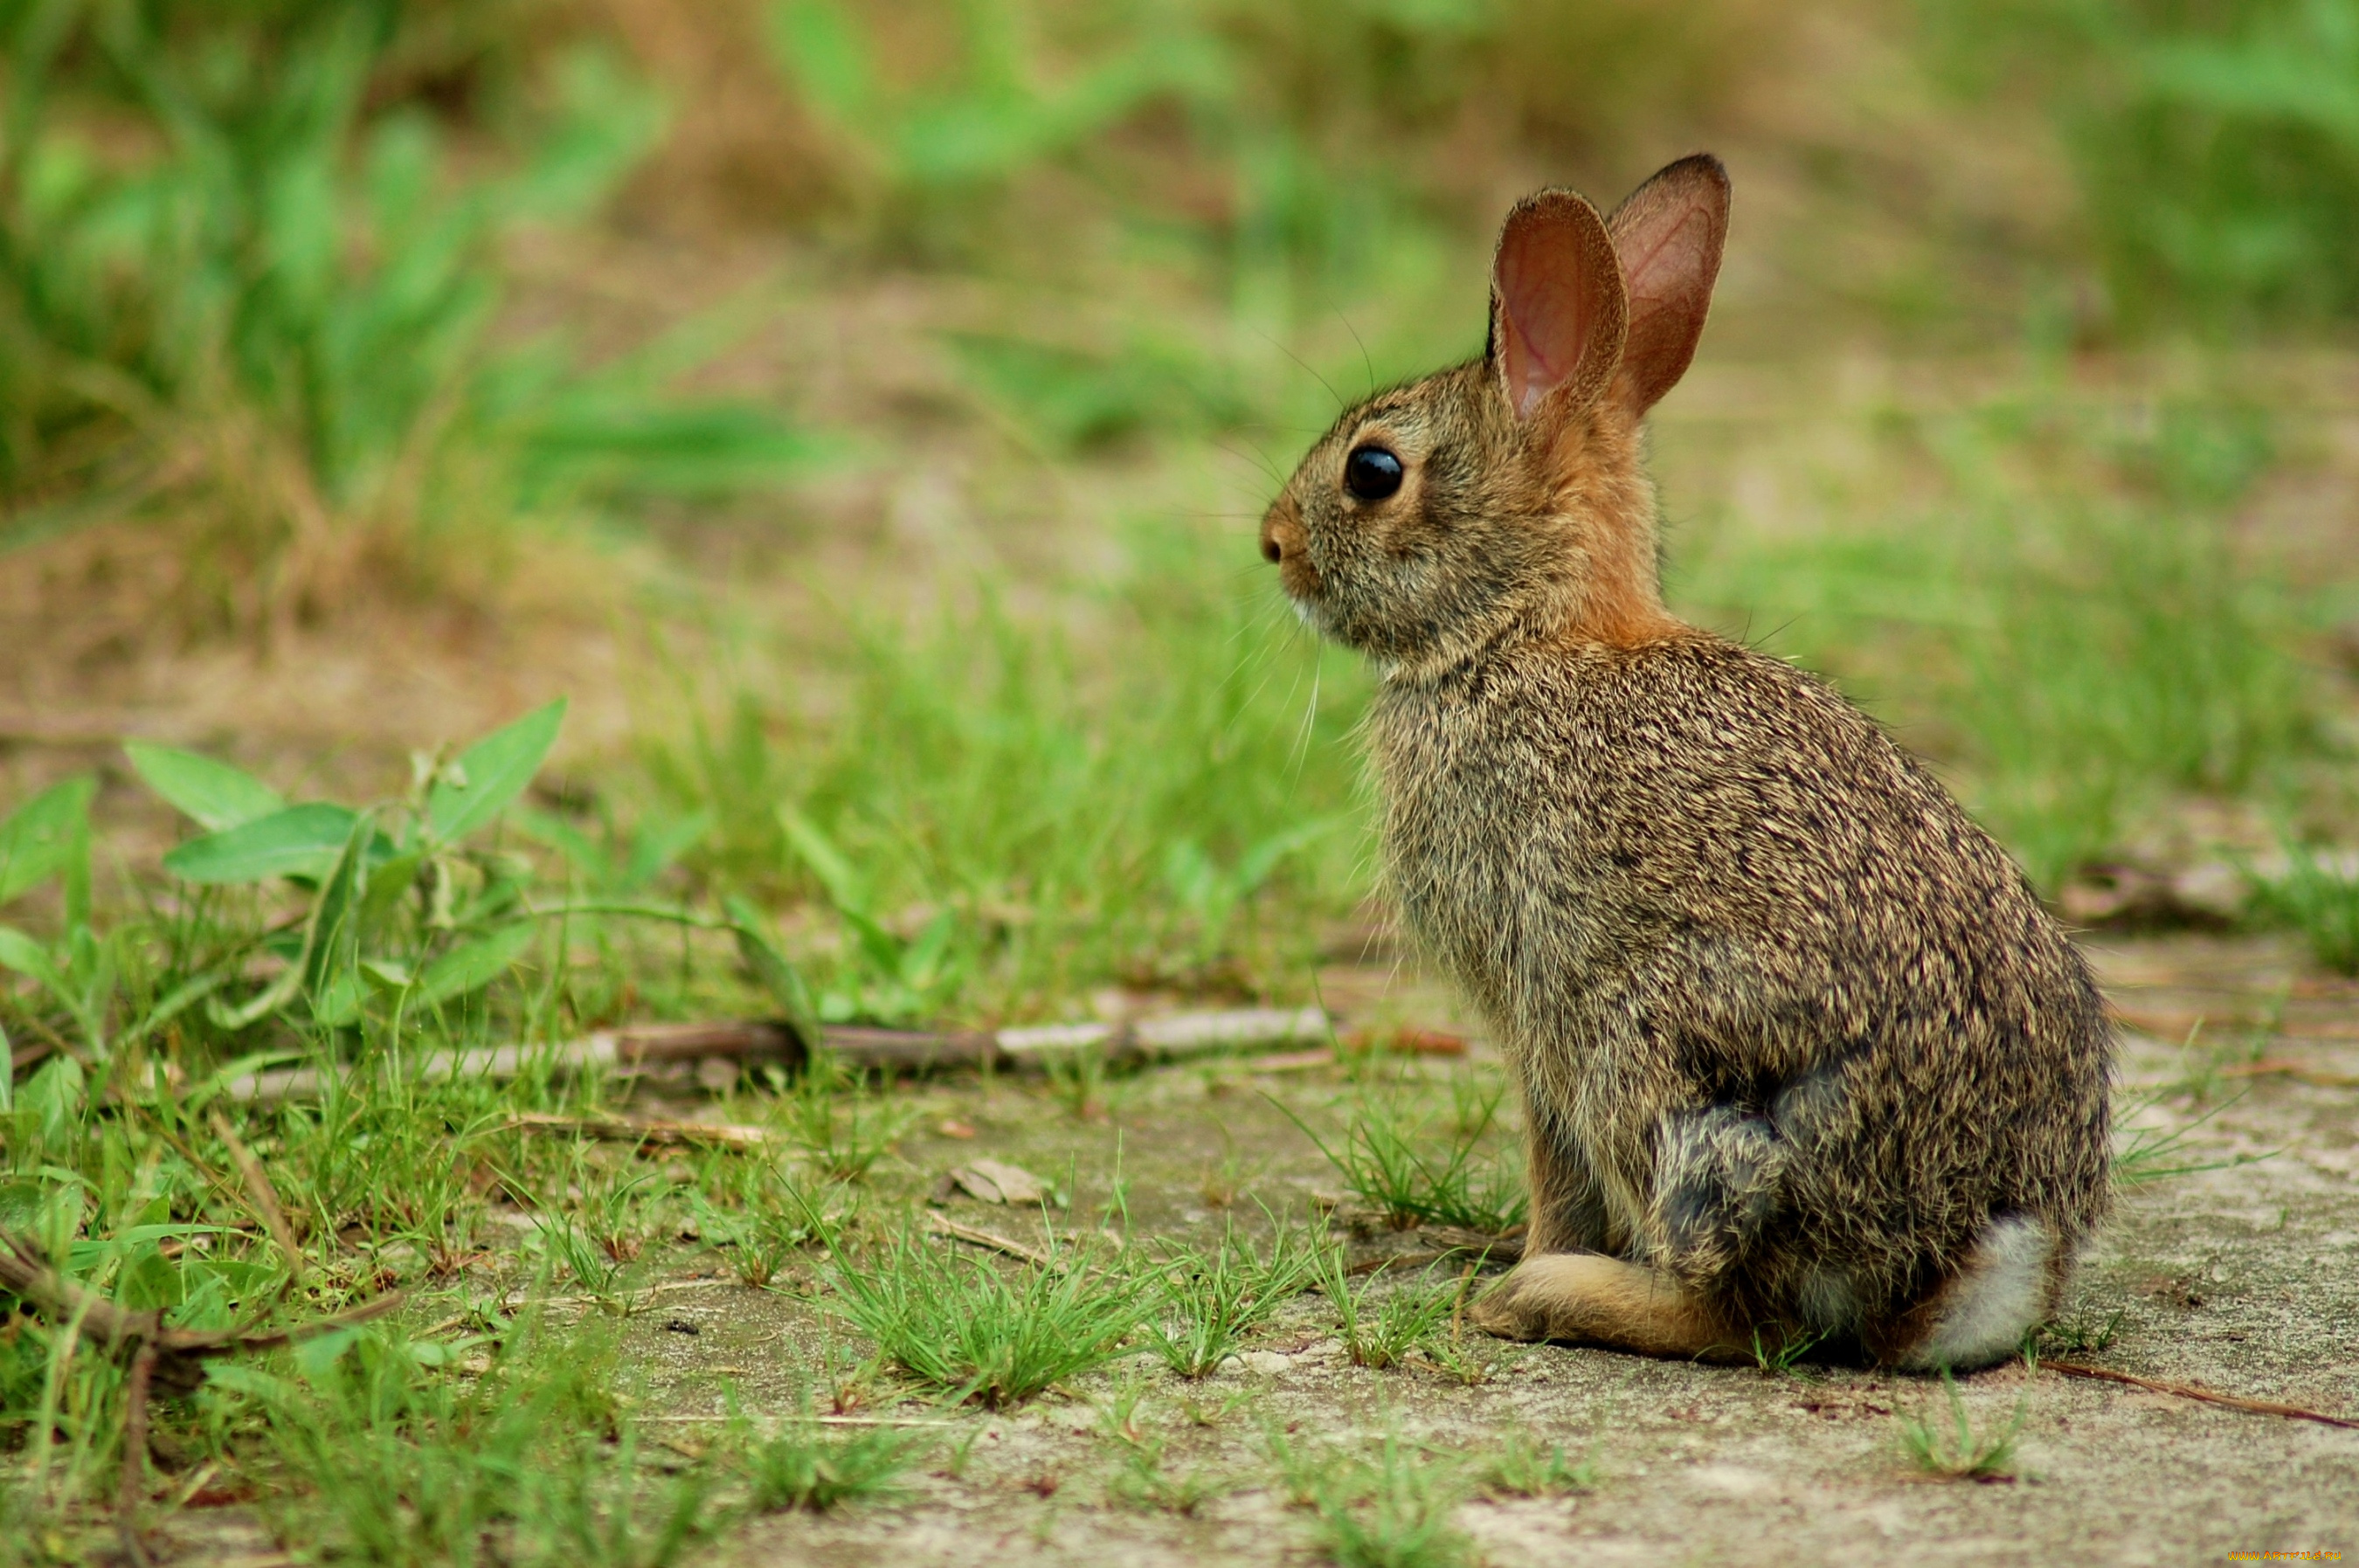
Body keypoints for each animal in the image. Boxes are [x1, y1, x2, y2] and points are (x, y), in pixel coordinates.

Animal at [1264, 153, 2113, 1367]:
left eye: (1373, 471)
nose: (1272, 543)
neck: (1525, 632)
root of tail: (1974, 1251)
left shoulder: (1535, 1004)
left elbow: (1553, 1166)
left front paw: (1522, 1260)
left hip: (1661, 1064)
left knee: (1742, 1310)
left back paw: (1548, 1295)